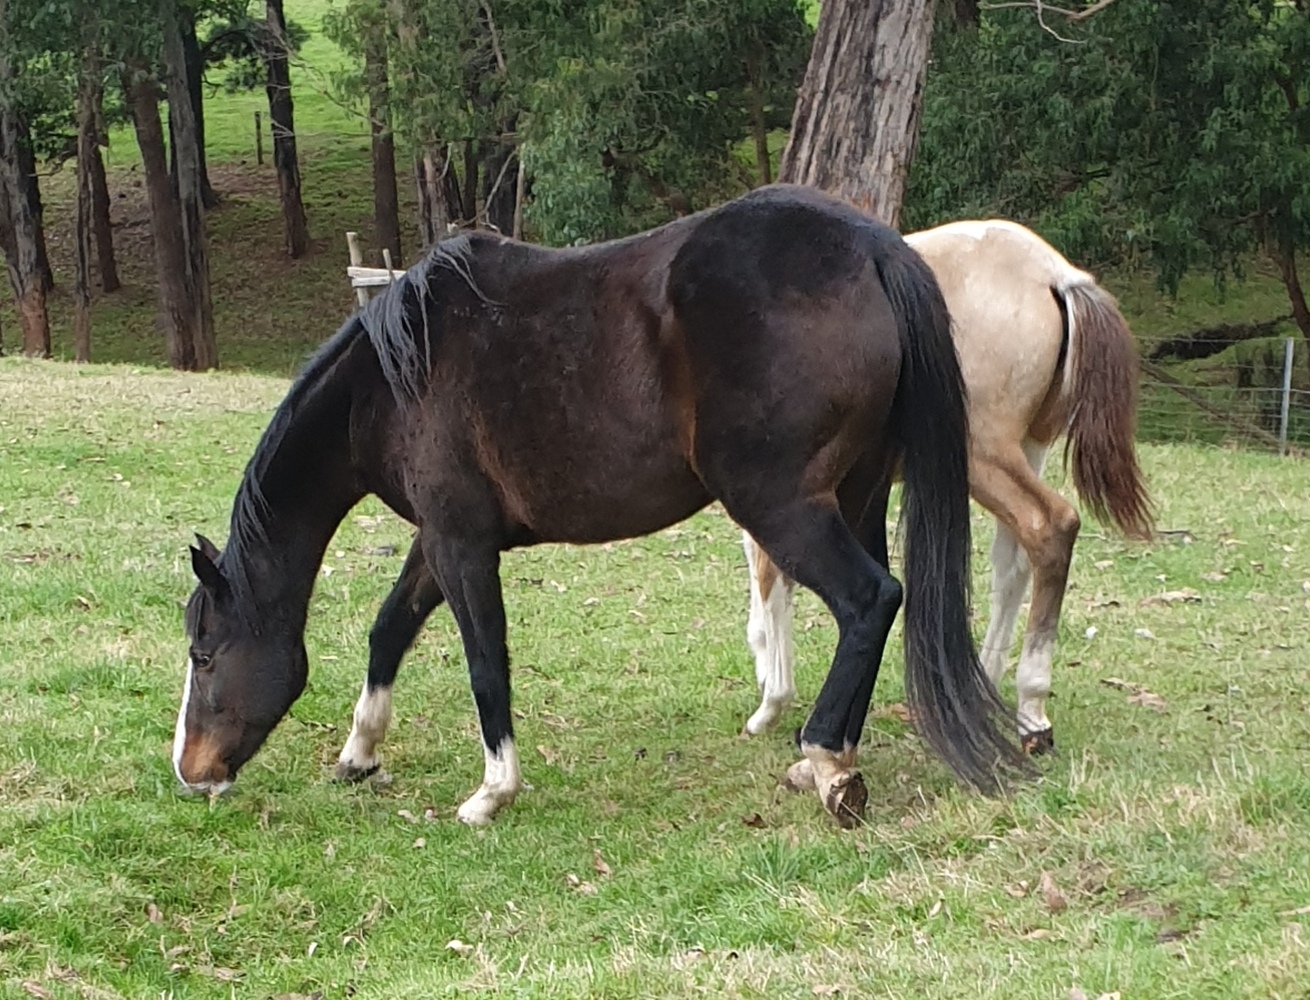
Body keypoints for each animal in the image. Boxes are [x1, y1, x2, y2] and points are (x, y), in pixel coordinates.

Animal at [172, 184, 1027, 828]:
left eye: (204, 655)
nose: (189, 770)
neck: (393, 377)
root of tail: (873, 248)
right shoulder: (439, 539)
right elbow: (389, 632)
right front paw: (360, 752)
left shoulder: (460, 546)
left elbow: (485, 661)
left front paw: (492, 792)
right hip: (856, 496)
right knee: (878, 604)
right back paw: (831, 758)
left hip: (783, 506)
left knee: (870, 599)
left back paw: (822, 754)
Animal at [742, 220, 1154, 751]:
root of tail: (1055, 274)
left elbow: (771, 572)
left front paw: (771, 703)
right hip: (1029, 450)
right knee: (1016, 563)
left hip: (984, 458)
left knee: (1050, 528)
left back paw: (1031, 708)